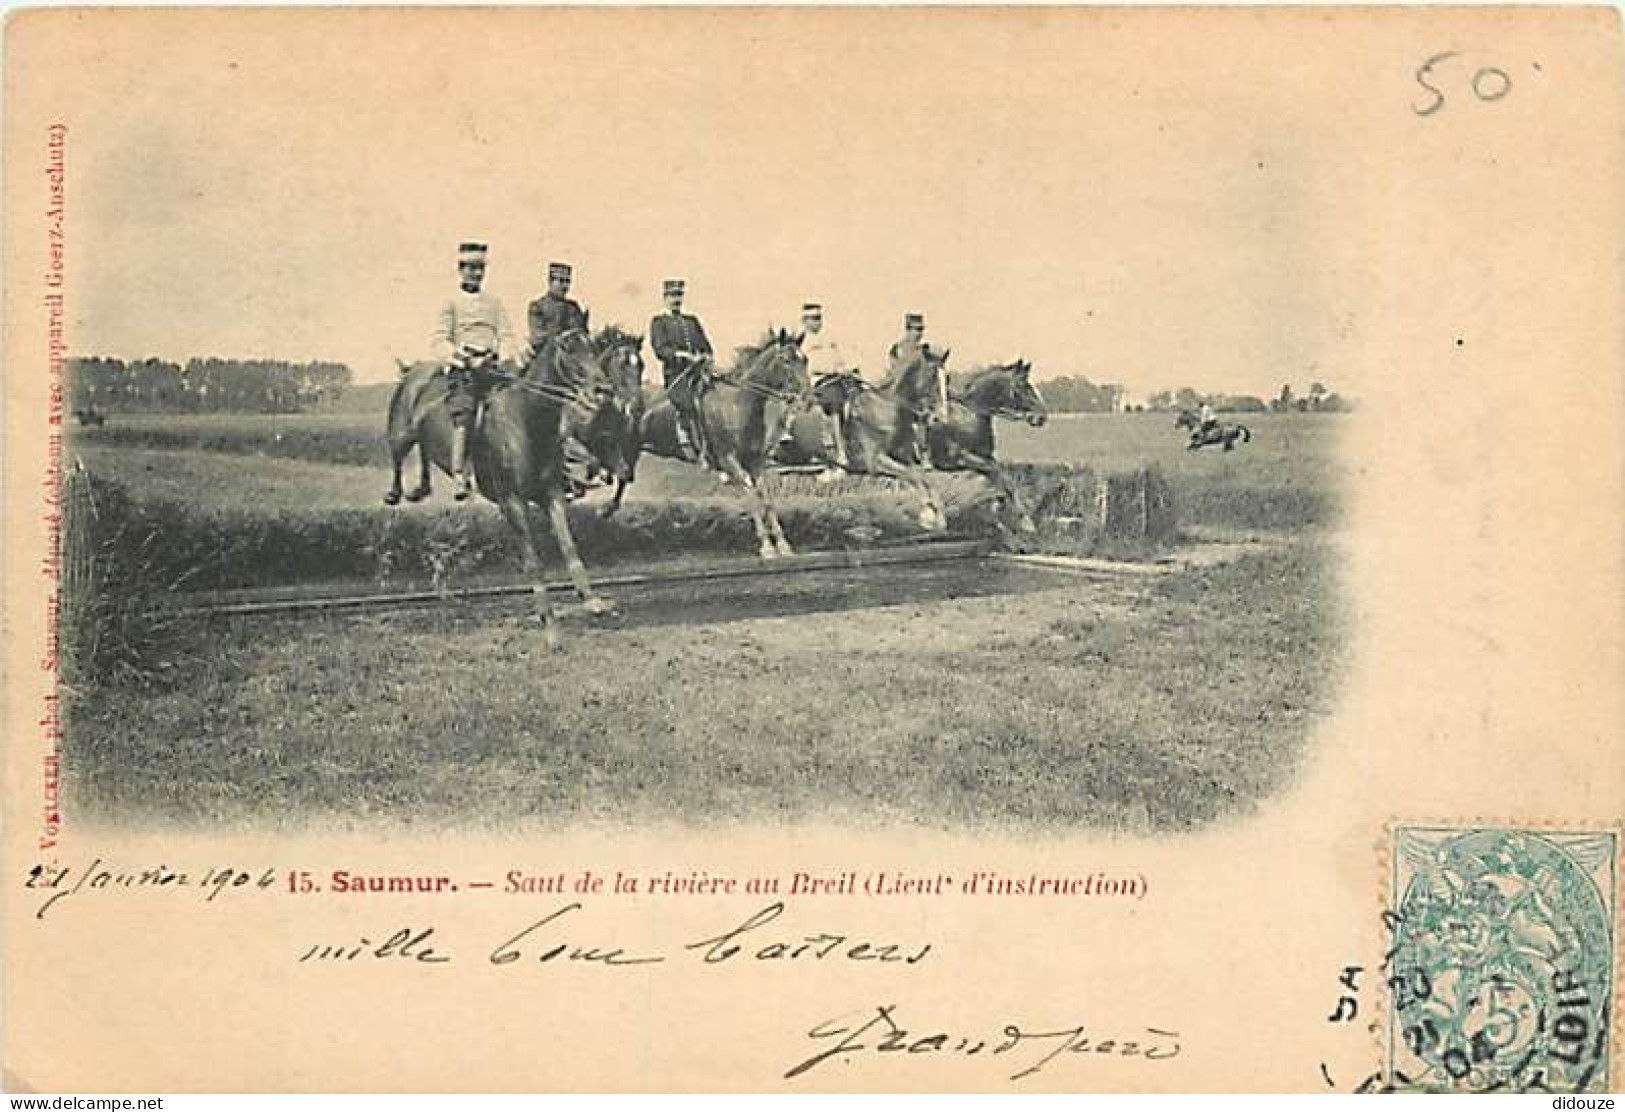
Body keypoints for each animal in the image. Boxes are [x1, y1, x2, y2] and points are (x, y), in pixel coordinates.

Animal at [383, 328, 630, 643]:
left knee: (424, 452)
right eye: (568, 348)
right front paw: (549, 624)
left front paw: (591, 600)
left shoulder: (551, 495)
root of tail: (414, 370)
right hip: (401, 432)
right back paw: (397, 493)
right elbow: (533, 561)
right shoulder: (512, 501)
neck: (527, 420)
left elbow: (568, 545)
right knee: (398, 455)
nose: (603, 389)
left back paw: (422, 488)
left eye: (593, 348)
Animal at [604, 328, 812, 556]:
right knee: (621, 476)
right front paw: (766, 546)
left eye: (805, 359)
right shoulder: (730, 462)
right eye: (786, 360)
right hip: (628, 446)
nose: (807, 395)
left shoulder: (755, 463)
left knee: (624, 477)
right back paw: (607, 508)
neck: (737, 406)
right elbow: (752, 497)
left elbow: (766, 499)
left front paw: (783, 545)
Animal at [776, 347, 949, 533]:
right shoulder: (875, 461)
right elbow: (913, 476)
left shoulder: (903, 457)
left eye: (946, 378)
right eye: (932, 377)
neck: (883, 408)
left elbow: (922, 477)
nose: (940, 417)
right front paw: (929, 517)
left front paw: (933, 517)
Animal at [929, 356, 1053, 529]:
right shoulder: (959, 458)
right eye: (1023, 386)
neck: (971, 413)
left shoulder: (984, 457)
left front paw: (998, 509)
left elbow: (1000, 478)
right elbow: (1002, 477)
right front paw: (1025, 522)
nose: (1041, 416)